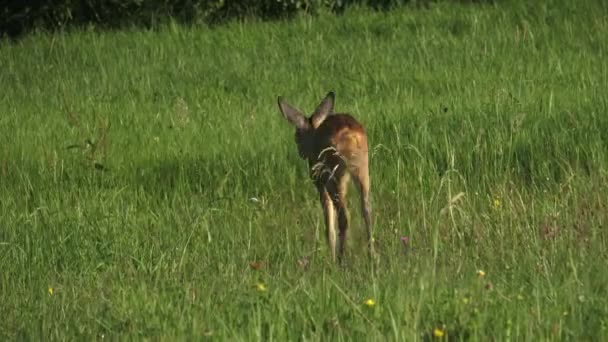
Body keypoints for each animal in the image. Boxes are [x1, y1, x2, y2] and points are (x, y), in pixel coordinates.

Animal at [276, 91, 372, 262]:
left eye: (296, 136)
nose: (301, 152)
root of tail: (350, 135)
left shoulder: (319, 182)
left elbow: (328, 221)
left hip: (332, 174)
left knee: (344, 215)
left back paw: (340, 259)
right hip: (361, 168)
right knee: (366, 210)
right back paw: (372, 256)